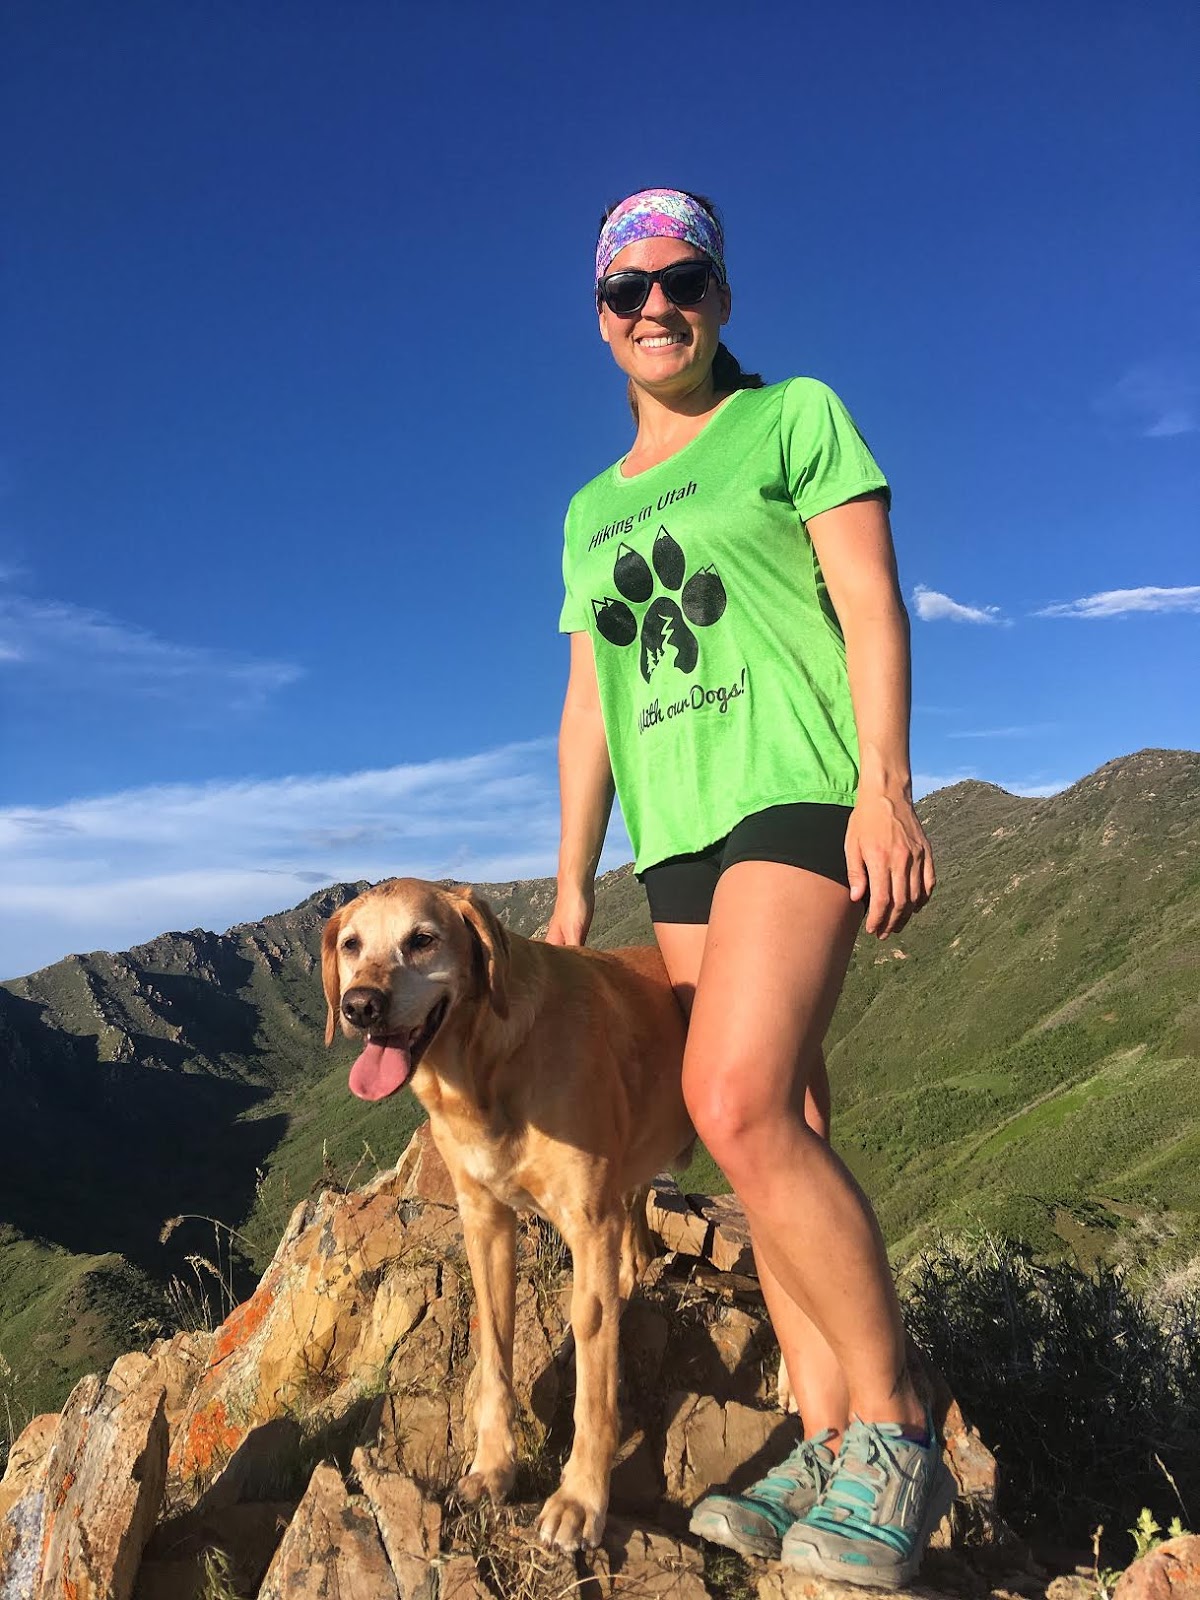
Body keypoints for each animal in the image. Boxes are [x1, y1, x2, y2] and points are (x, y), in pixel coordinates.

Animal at [321, 876, 694, 1548]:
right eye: (350, 944)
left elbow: (594, 1378)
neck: (484, 1067)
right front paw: (493, 1467)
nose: (360, 1005)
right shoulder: (486, 1221)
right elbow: (494, 1352)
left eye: (423, 939)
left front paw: (580, 1497)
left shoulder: (587, 1221)